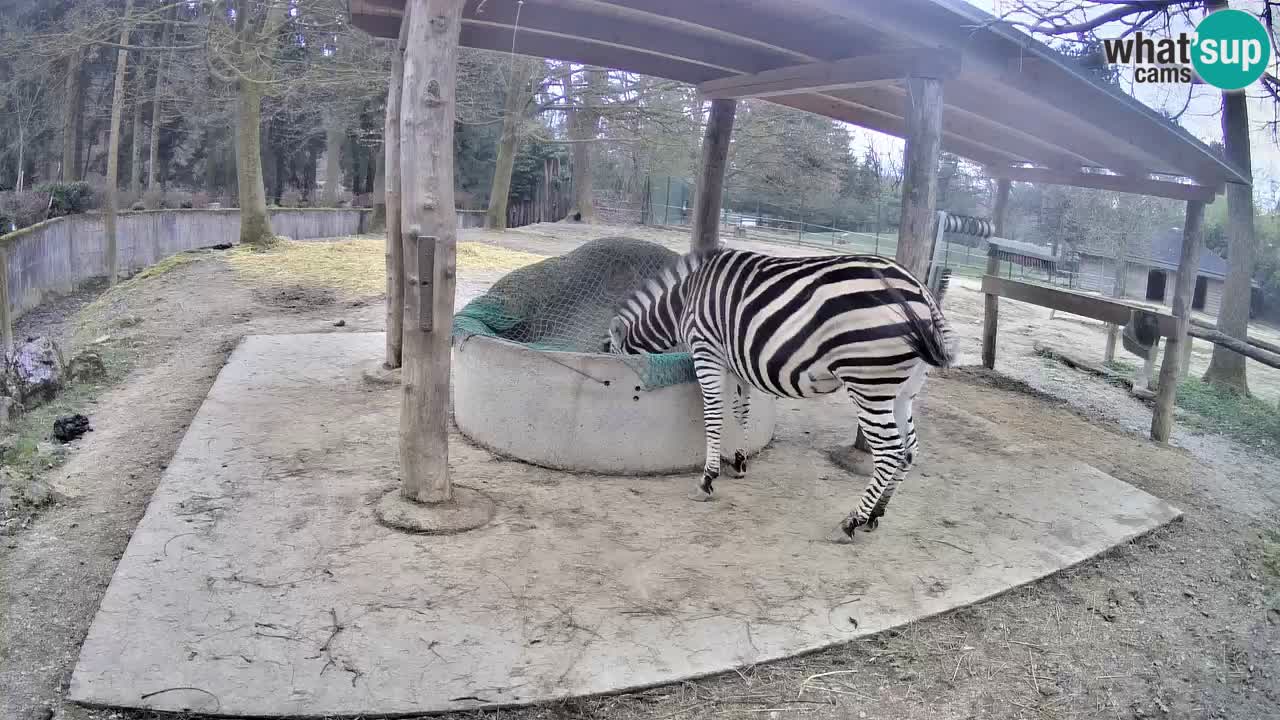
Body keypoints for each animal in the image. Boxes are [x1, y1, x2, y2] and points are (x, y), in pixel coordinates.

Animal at [608, 247, 955, 539]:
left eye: (612, 353)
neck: (683, 301)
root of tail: (922, 290)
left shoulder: (707, 350)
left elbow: (714, 416)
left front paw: (707, 480)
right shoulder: (735, 363)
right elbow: (741, 411)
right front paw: (740, 461)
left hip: (868, 381)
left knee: (889, 451)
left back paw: (851, 522)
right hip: (903, 389)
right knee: (910, 449)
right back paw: (875, 515)